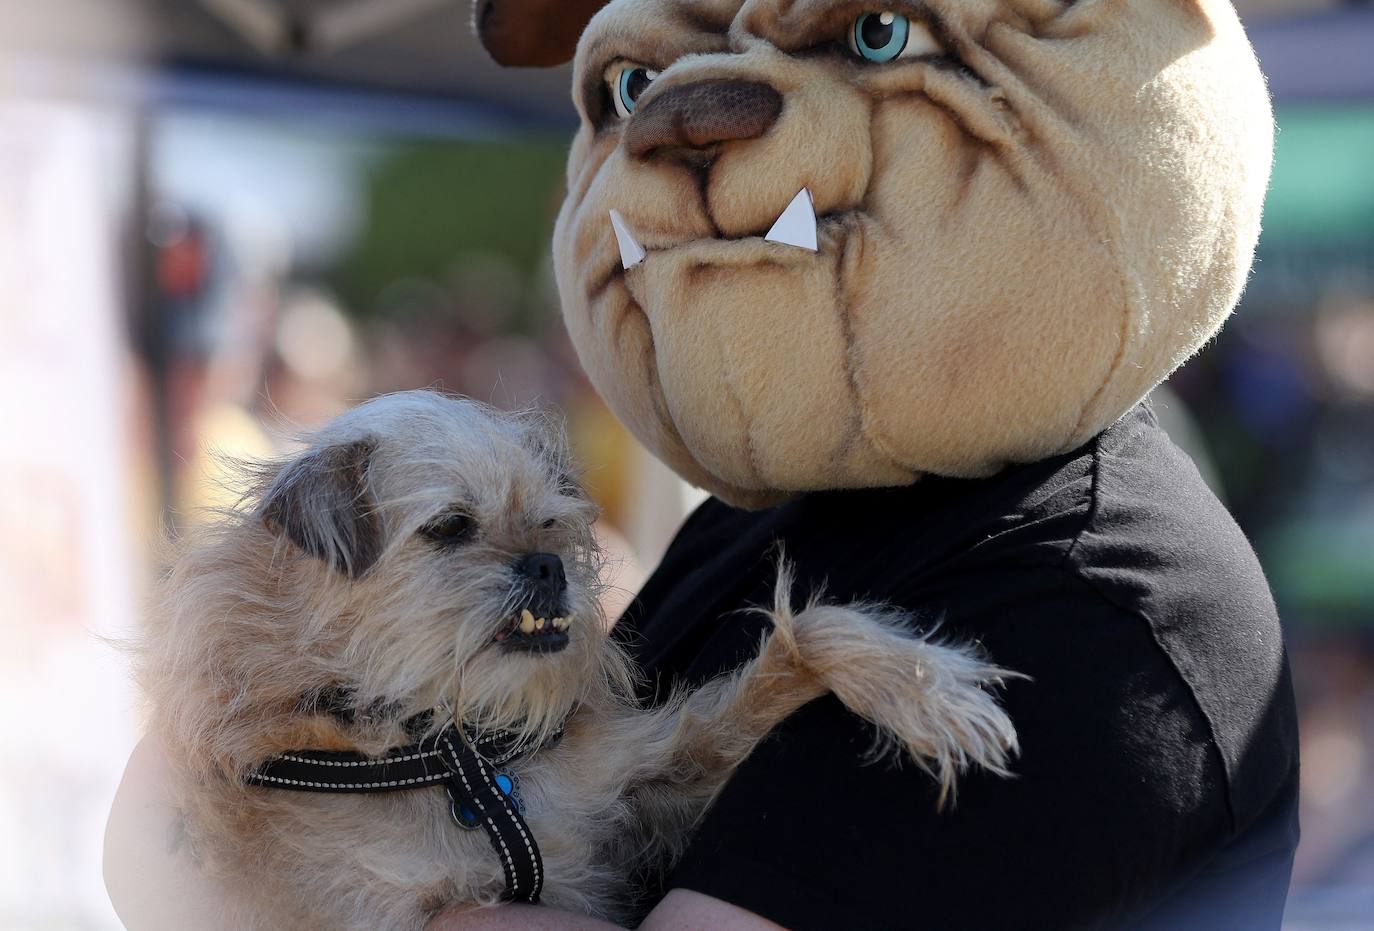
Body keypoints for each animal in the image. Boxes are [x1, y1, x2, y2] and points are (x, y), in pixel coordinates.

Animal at [139, 389, 1016, 928]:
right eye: (451, 527)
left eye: (551, 522)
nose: (547, 564)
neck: (458, 760)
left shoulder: (654, 782)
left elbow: (804, 637)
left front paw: (921, 687)